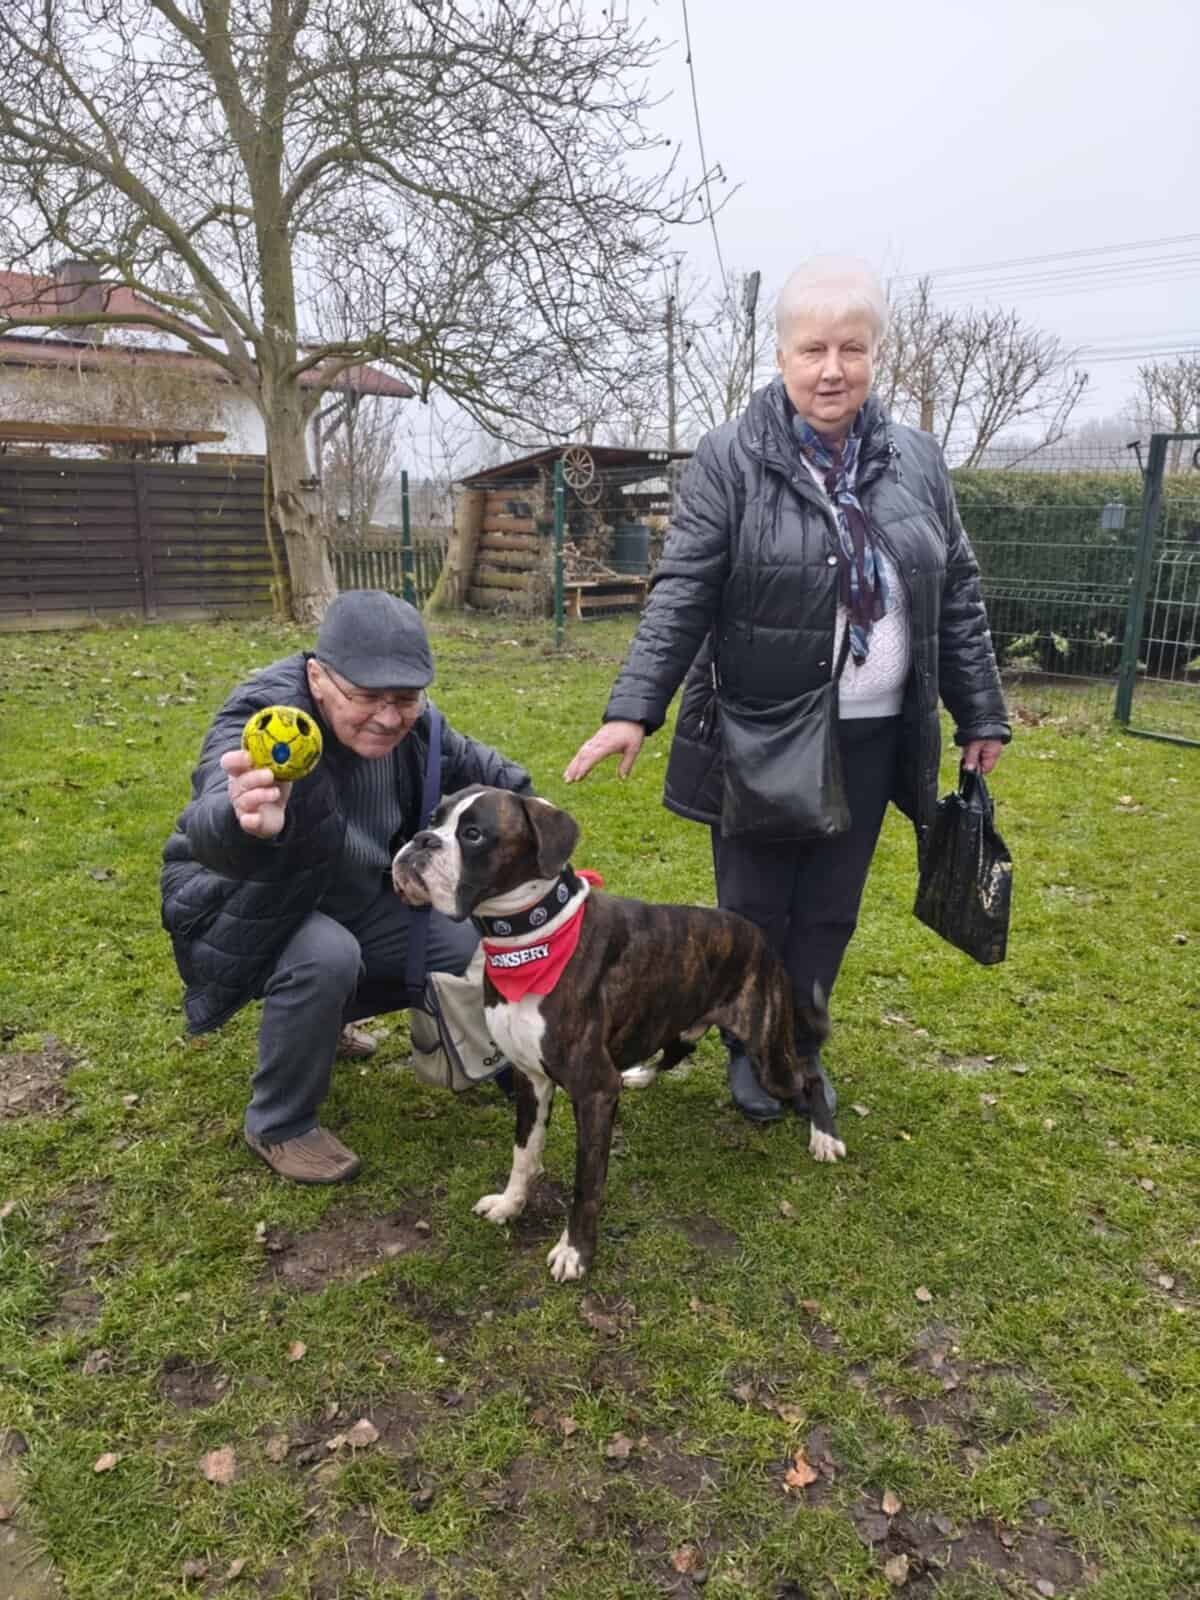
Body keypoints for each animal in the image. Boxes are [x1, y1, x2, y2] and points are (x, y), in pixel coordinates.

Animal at [391, 786, 845, 1281]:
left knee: (807, 1074)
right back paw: (641, 1074)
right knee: (676, 1052)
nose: (420, 841)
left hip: (767, 1052)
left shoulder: (594, 1093)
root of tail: (759, 937)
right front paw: (511, 1205)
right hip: (680, 1021)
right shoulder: (531, 1078)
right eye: (433, 820)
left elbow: (586, 1185)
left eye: (473, 834)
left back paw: (825, 1136)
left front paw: (576, 1252)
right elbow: (523, 1154)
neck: (530, 939)